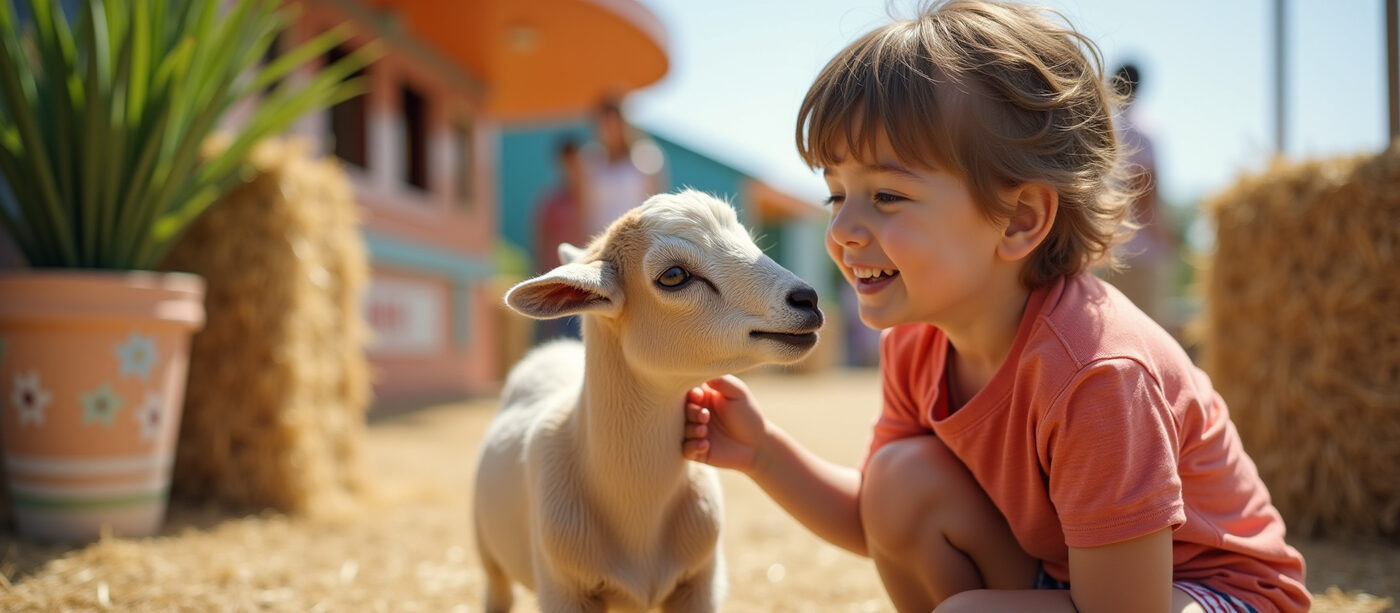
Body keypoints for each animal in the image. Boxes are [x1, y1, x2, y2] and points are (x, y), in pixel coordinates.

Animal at [473, 189, 824, 612]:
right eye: (673, 276)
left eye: (748, 238)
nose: (808, 299)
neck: (637, 508)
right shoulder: (563, 587)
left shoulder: (700, 583)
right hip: (487, 552)